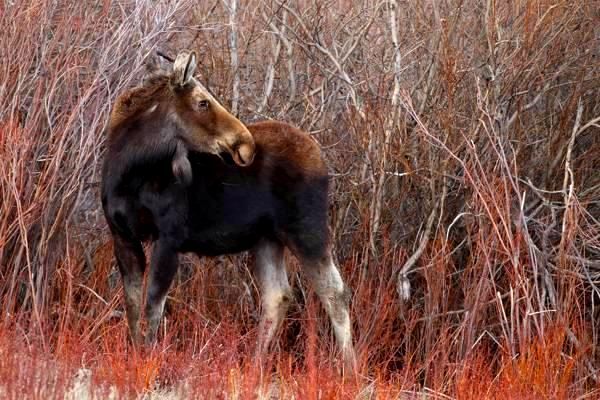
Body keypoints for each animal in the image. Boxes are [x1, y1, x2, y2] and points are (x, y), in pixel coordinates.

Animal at [102, 50, 356, 368]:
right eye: (203, 102)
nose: (245, 144)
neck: (128, 174)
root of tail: (322, 160)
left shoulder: (169, 238)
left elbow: (152, 307)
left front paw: (147, 360)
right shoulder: (122, 236)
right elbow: (133, 307)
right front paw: (135, 357)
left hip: (307, 230)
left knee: (335, 292)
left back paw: (351, 369)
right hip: (267, 239)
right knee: (278, 295)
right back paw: (256, 366)